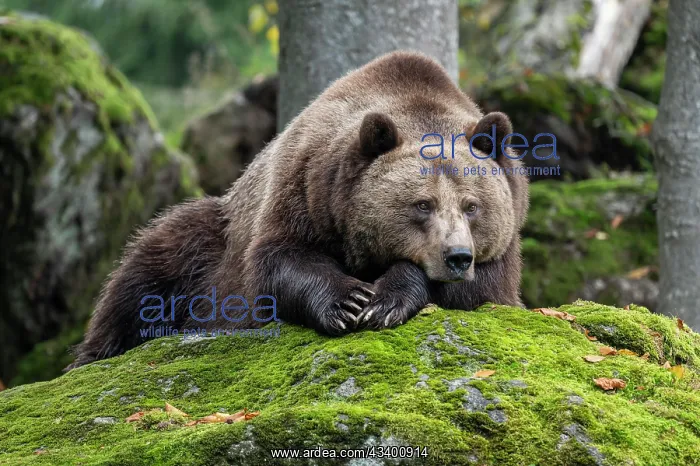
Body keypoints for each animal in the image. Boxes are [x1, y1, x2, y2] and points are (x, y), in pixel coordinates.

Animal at [67, 51, 529, 369]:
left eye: (472, 206)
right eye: (422, 204)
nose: (457, 257)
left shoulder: (503, 247)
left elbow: (481, 290)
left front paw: (385, 300)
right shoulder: (306, 187)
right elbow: (279, 260)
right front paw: (348, 302)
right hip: (212, 242)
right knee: (150, 268)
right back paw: (94, 354)